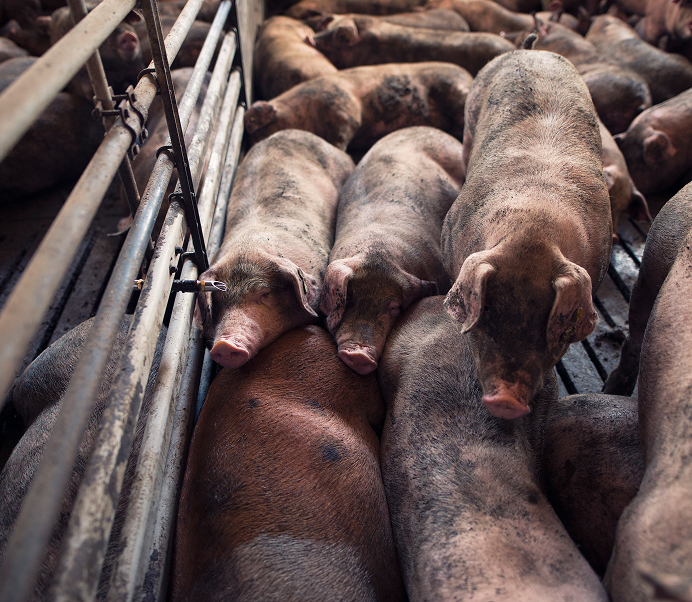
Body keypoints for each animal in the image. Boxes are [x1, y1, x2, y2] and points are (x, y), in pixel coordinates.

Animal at [244, 62, 473, 152]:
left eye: (258, 131)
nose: (251, 145)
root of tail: (468, 75)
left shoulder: (343, 104)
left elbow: (344, 131)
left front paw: (337, 149)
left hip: (453, 86)